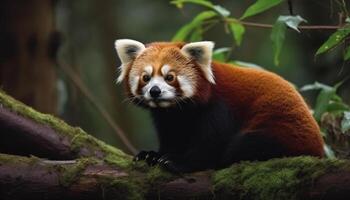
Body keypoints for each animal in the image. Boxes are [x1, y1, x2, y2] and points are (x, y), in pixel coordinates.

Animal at [115, 39, 326, 173]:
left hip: (282, 132)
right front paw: (153, 155)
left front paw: (178, 162)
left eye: (170, 77)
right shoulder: (169, 117)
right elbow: (173, 135)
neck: (178, 109)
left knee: (243, 144)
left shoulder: (219, 107)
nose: (155, 91)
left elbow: (212, 142)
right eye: (146, 77)